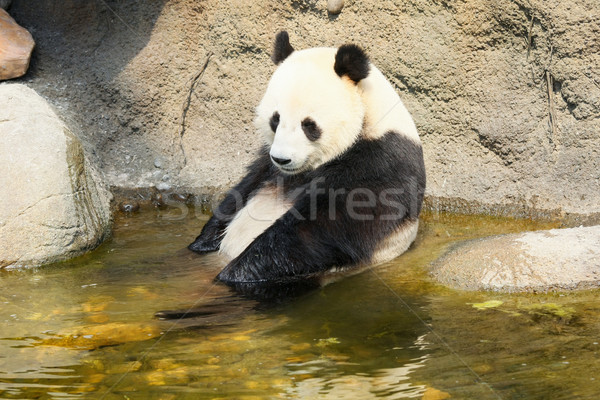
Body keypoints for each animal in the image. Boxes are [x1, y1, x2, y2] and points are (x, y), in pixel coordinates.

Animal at [190, 31, 424, 288]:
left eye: (309, 125)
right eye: (275, 119)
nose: (282, 159)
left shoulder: (380, 164)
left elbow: (316, 229)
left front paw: (235, 273)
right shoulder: (265, 165)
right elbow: (239, 194)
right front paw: (203, 241)